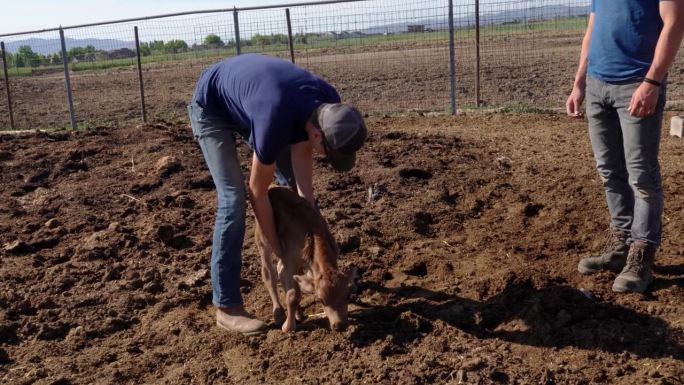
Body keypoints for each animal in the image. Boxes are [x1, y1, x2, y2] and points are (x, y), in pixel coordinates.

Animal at [256, 185, 358, 330]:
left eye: (348, 294)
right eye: (320, 299)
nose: (340, 325)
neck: (313, 230)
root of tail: (273, 187)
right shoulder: (290, 261)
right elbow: (292, 295)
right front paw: (288, 327)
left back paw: (297, 313)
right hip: (263, 240)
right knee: (269, 275)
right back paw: (279, 315)